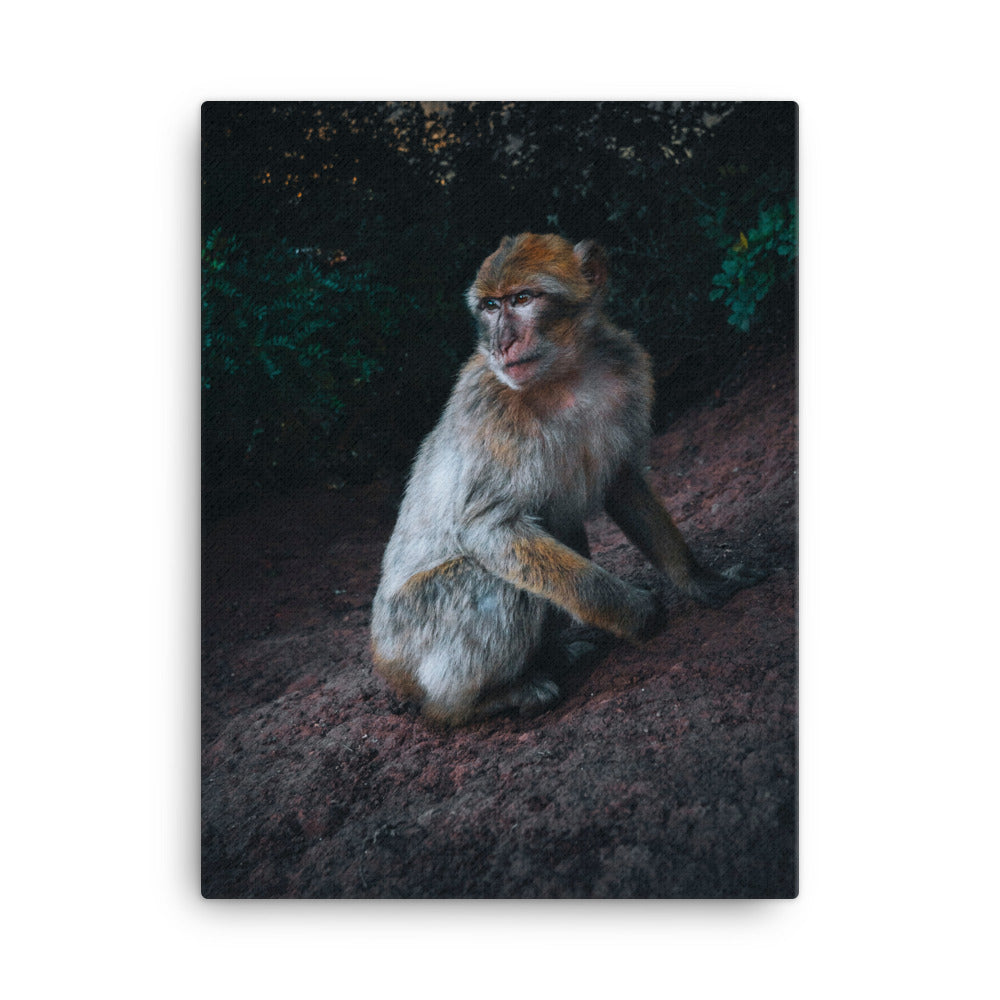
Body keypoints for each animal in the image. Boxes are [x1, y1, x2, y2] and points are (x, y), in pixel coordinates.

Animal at [371, 233, 763, 726]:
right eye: (490, 306)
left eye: (522, 299)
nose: (501, 342)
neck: (564, 377)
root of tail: (385, 662)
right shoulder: (491, 409)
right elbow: (489, 529)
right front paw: (635, 612)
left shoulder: (626, 370)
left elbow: (622, 481)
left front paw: (700, 579)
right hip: (413, 635)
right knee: (491, 582)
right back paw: (477, 702)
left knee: (560, 527)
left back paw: (552, 655)